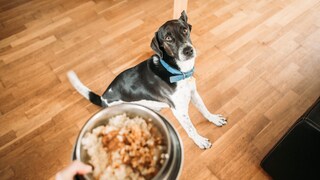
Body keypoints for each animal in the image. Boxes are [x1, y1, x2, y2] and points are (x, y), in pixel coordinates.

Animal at [68, 11, 228, 149]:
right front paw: (200, 141)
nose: (188, 50)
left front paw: (214, 119)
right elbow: (191, 129)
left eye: (184, 30)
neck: (176, 70)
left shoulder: (193, 93)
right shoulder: (179, 111)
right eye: (168, 38)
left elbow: (204, 109)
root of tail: (103, 98)